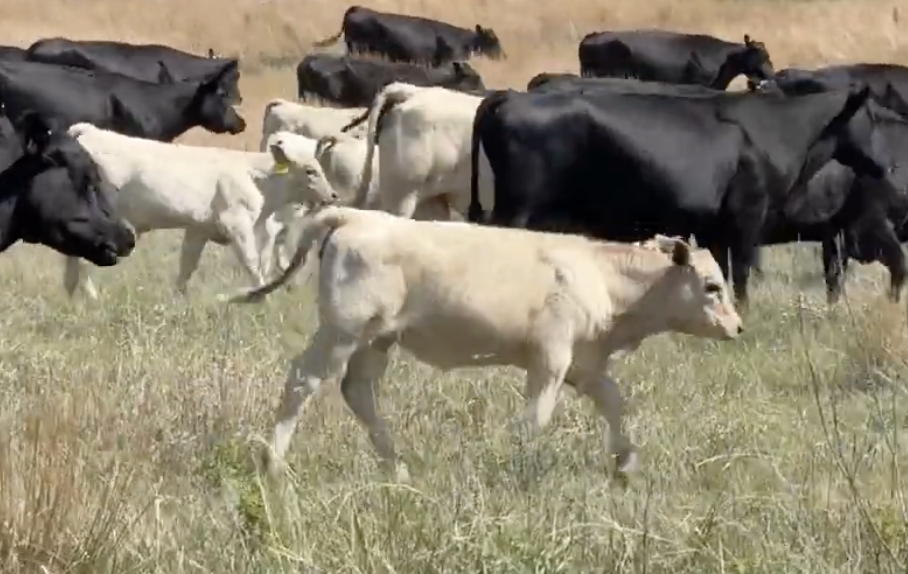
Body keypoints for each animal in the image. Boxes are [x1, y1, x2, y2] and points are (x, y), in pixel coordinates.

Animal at [61, 124, 337, 300]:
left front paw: (177, 301)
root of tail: (91, 132)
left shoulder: (198, 229)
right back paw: (90, 297)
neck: (256, 178)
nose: (333, 195)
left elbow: (187, 266)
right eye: (310, 171)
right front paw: (261, 297)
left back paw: (72, 294)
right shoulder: (237, 225)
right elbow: (252, 263)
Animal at [223, 207, 744, 483]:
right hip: (342, 331)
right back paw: (273, 463)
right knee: (303, 381)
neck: (599, 273)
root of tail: (356, 215)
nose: (737, 328)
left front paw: (626, 463)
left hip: (377, 339)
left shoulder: (586, 366)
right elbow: (534, 419)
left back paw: (398, 468)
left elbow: (615, 403)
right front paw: (516, 468)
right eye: (712, 286)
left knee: (358, 392)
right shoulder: (549, 361)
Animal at [466, 86, 908, 307]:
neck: (780, 131)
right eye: (870, 118)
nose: (887, 165)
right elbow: (741, 272)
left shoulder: (716, 226)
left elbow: (723, 272)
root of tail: (510, 96)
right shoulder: (748, 216)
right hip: (519, 206)